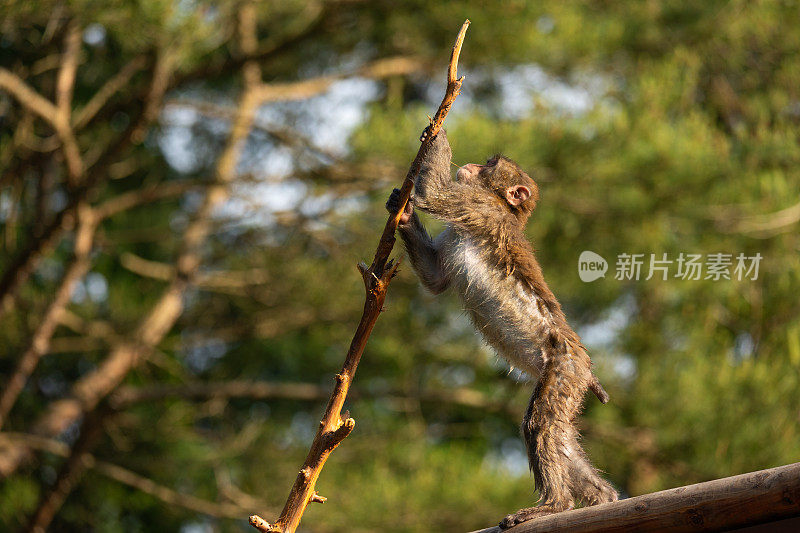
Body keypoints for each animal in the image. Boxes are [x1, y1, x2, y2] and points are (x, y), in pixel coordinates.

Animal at [388, 127, 620, 524]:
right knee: (559, 432)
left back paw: (555, 504)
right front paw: (400, 214)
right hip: (570, 381)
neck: (502, 207)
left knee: (540, 423)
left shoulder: (477, 206)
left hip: (564, 369)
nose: (472, 164)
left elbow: (434, 196)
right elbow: (435, 279)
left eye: (490, 165)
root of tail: (584, 366)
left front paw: (437, 135)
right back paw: (602, 498)